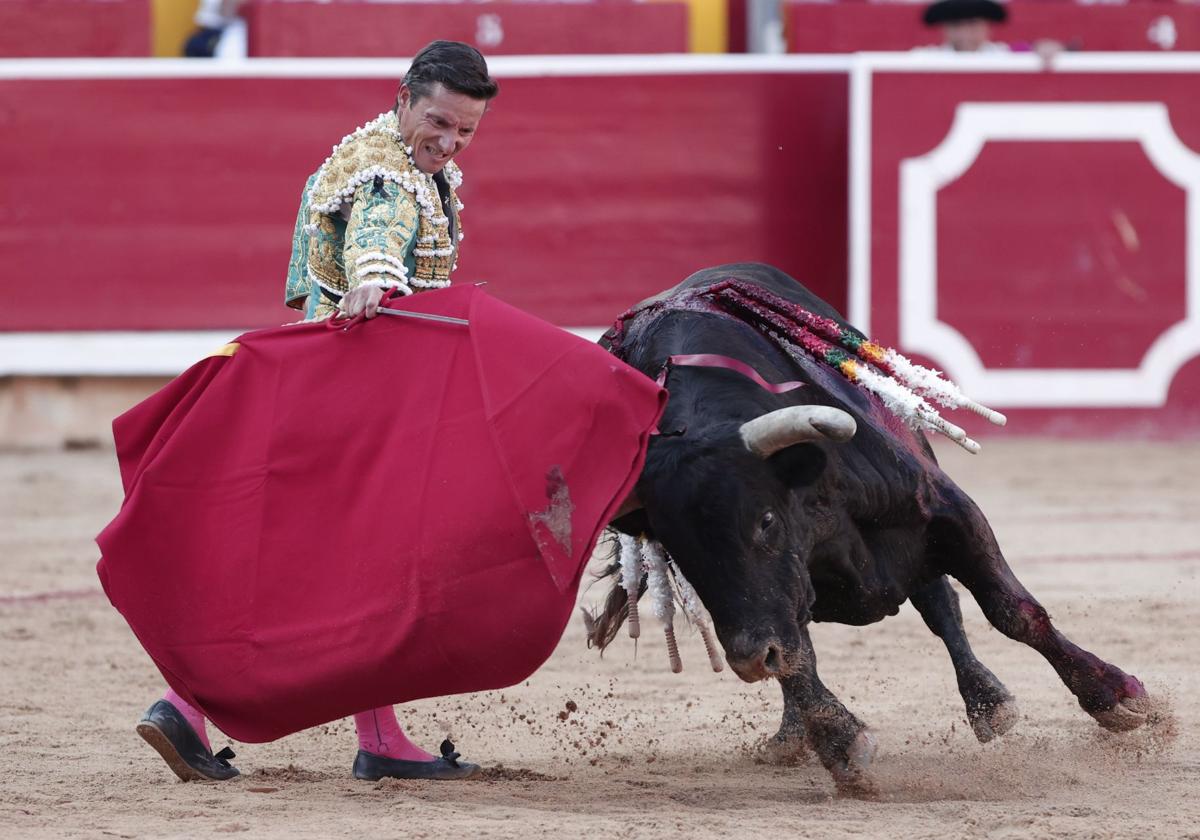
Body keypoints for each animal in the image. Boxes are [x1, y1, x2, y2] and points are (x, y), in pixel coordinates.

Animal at [595, 265, 1156, 792]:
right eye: (677, 548)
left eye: (766, 520)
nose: (749, 660)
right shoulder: (779, 600)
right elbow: (795, 657)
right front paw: (840, 744)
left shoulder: (947, 511)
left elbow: (1012, 611)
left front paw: (1116, 698)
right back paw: (792, 735)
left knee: (941, 605)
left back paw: (989, 704)